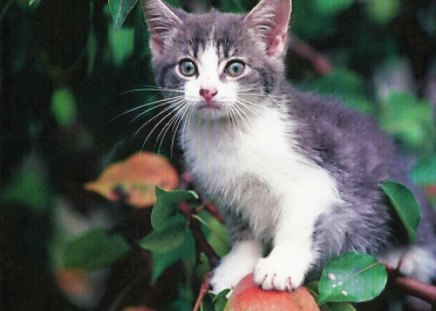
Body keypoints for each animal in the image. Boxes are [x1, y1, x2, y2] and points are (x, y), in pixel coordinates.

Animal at [141, 0, 434, 294]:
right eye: (187, 67)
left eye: (235, 68)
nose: (207, 92)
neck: (230, 133)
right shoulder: (227, 191)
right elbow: (243, 228)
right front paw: (237, 266)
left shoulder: (315, 175)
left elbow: (297, 222)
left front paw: (281, 266)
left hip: (398, 197)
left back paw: (406, 255)